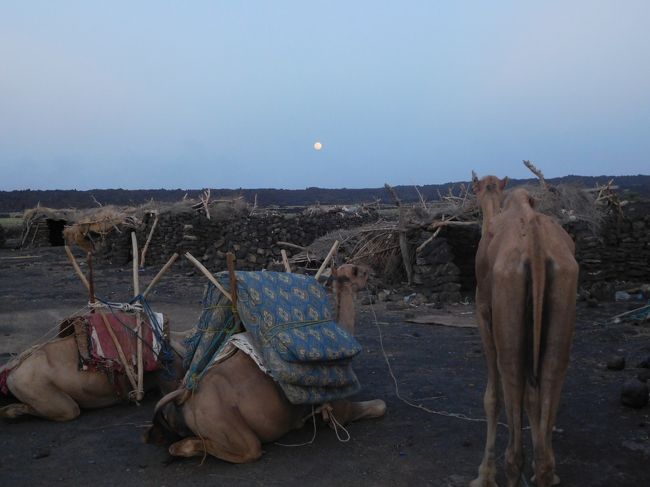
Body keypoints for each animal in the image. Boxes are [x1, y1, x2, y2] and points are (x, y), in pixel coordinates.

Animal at [146, 264, 384, 464]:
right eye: (362, 272)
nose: (375, 278)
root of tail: (184, 396)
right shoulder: (339, 410)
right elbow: (380, 405)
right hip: (224, 424)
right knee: (247, 450)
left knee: (176, 445)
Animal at [468, 176, 580, 487]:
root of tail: (536, 245)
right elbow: (533, 397)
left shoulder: (482, 312)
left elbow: (492, 397)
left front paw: (484, 474)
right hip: (564, 288)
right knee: (552, 372)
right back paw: (544, 470)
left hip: (508, 296)